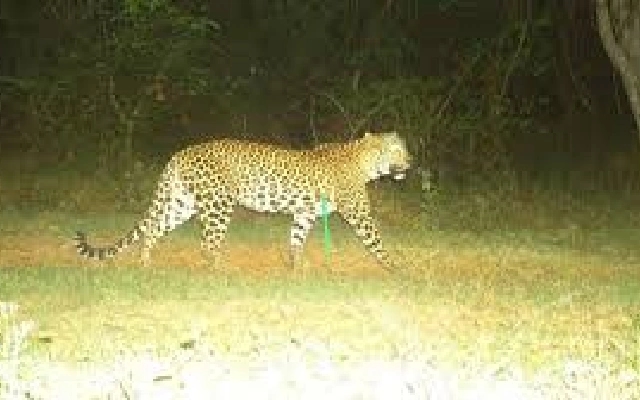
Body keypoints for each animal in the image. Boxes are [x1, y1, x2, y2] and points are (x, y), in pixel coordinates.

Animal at [74, 131, 411, 269]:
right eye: (397, 150)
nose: (411, 162)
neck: (365, 163)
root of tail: (180, 153)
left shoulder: (304, 213)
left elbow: (296, 239)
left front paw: (295, 267)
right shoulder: (359, 214)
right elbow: (377, 242)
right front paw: (395, 268)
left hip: (183, 202)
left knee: (155, 228)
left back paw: (146, 263)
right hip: (218, 203)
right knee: (207, 243)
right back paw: (221, 271)